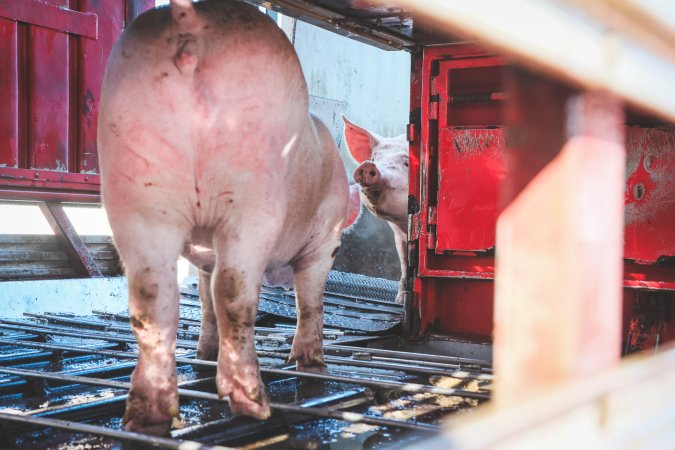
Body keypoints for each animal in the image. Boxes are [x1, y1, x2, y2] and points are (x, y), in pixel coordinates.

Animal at [98, 0, 352, 436]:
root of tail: (192, 20)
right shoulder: (325, 241)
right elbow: (310, 301)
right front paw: (311, 365)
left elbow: (203, 298)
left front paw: (205, 352)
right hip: (253, 188)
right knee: (234, 289)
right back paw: (254, 404)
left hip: (136, 180)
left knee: (154, 293)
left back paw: (146, 418)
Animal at [346, 118, 410, 304]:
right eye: (374, 157)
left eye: (406, 163)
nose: (368, 166)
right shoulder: (398, 236)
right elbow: (405, 265)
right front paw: (399, 301)